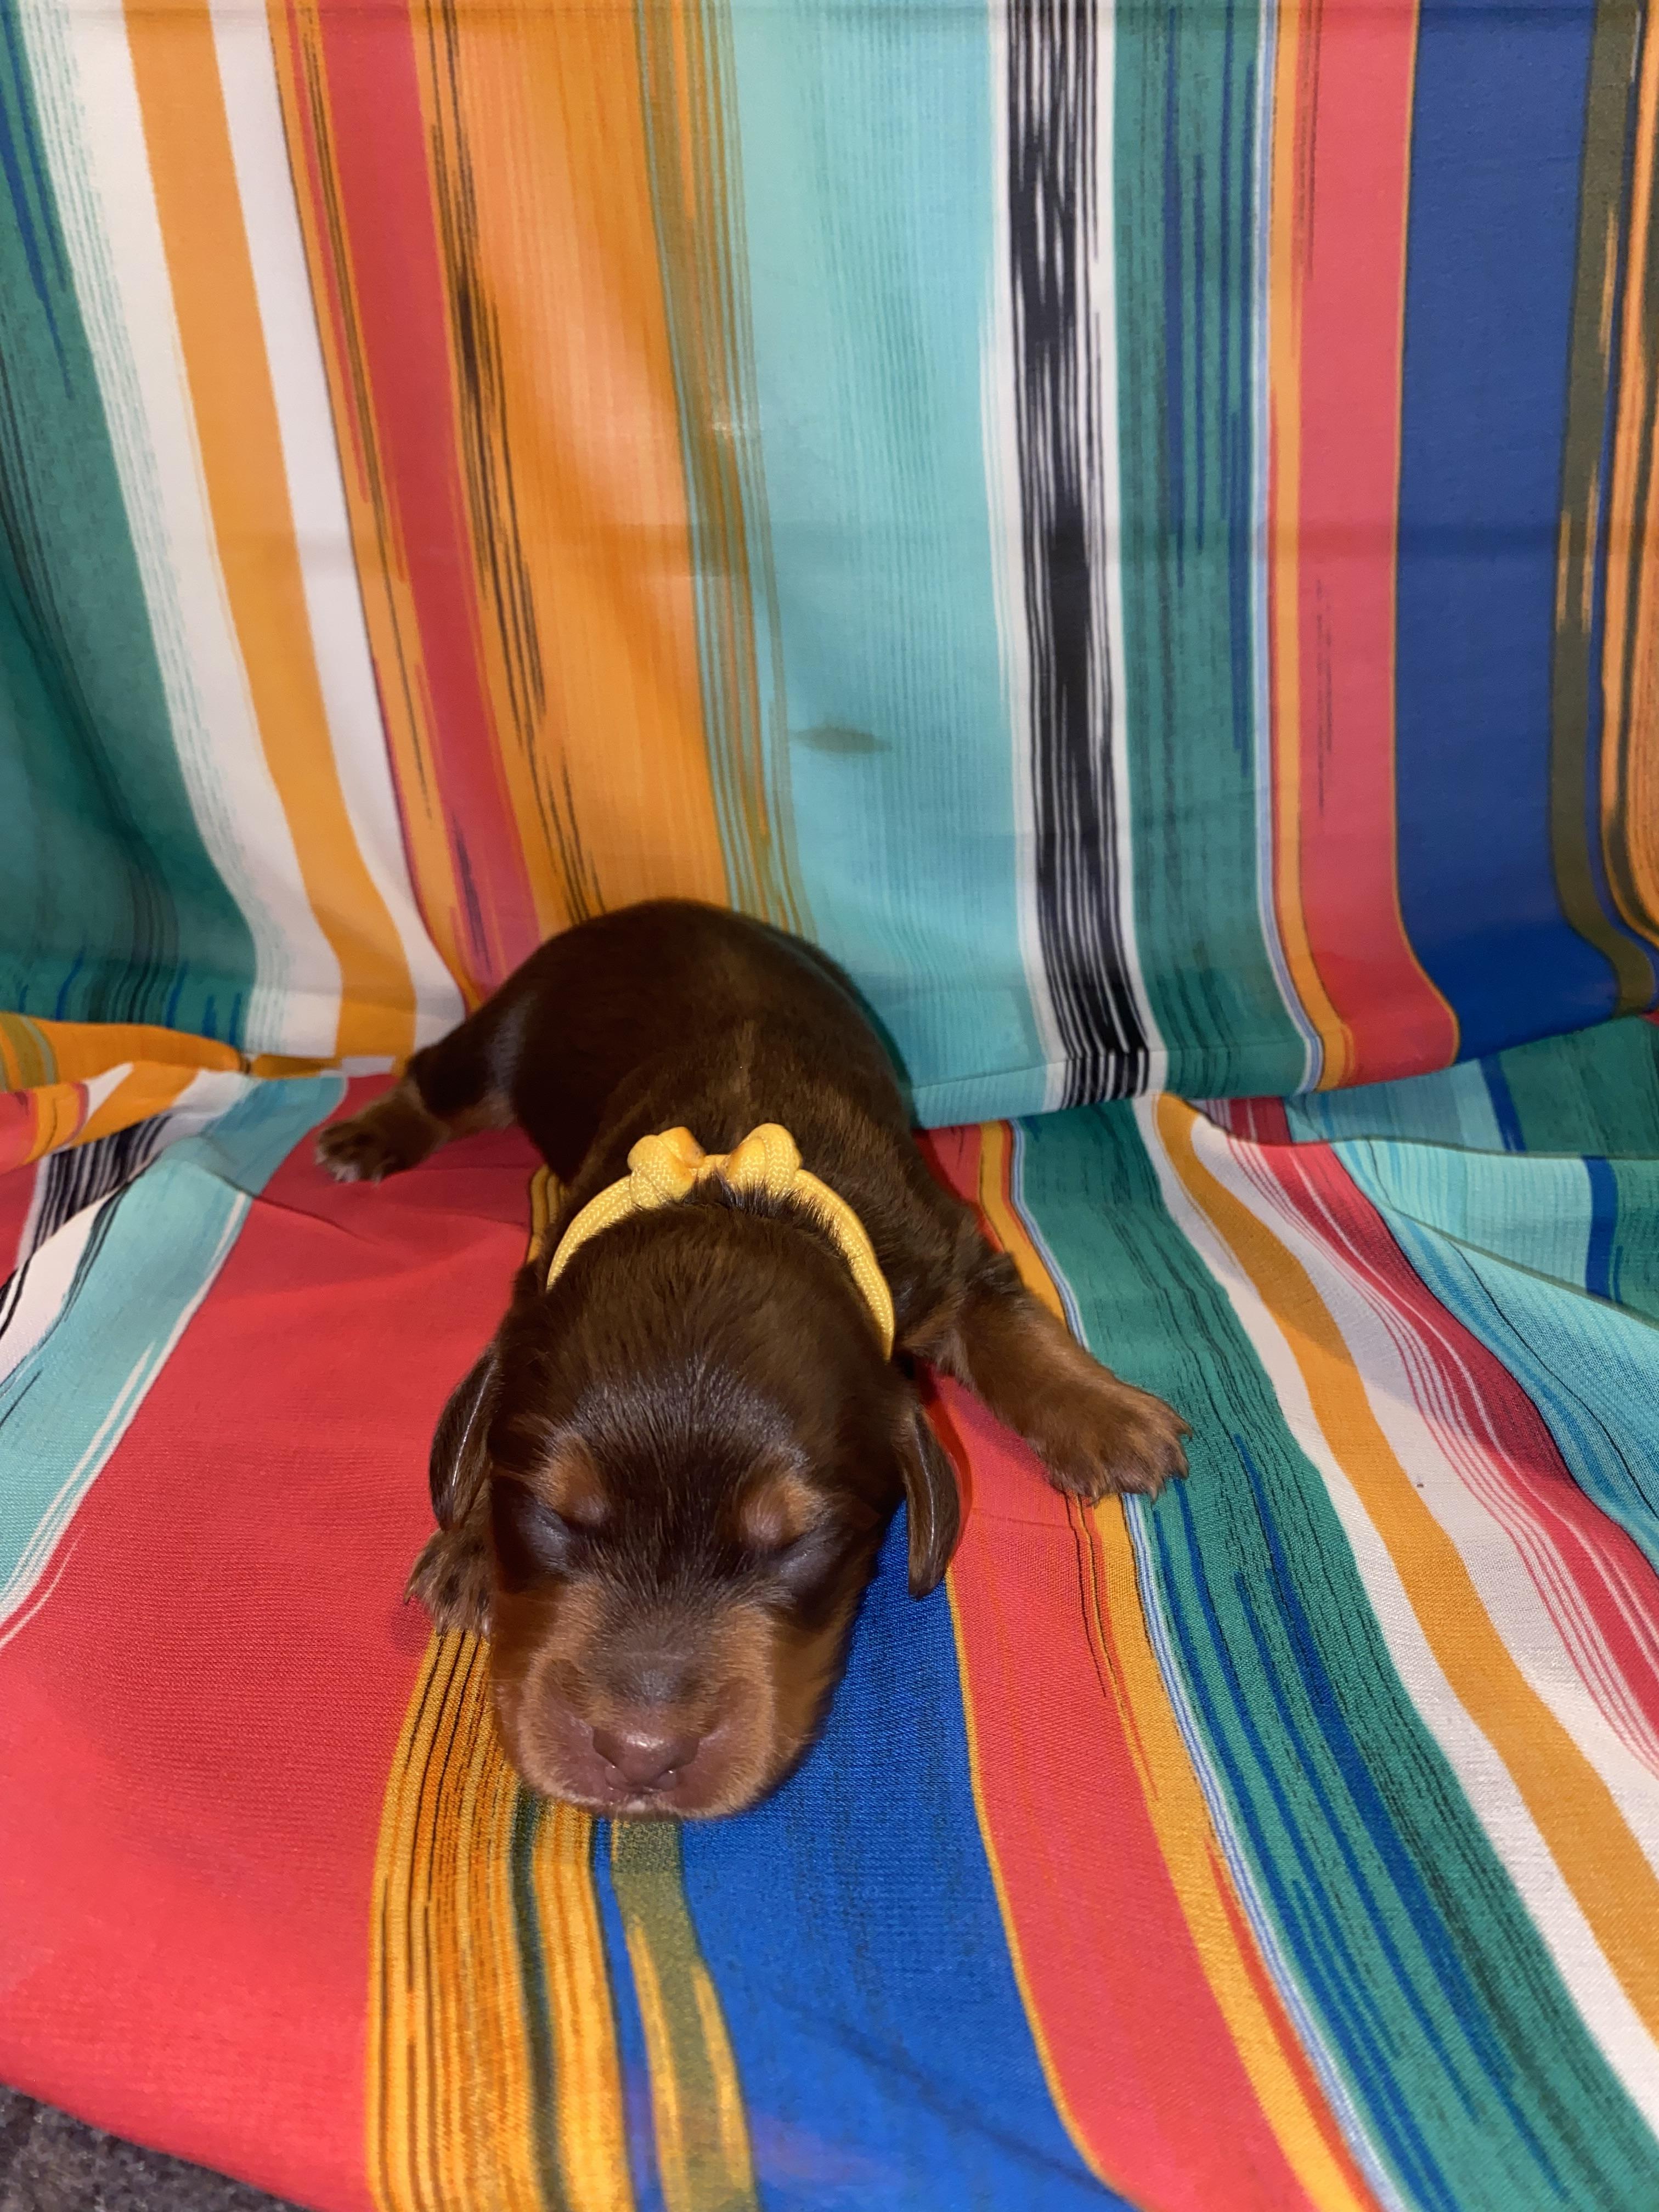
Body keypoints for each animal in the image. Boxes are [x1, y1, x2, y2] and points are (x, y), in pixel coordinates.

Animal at [319, 901, 1188, 1818]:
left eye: (795, 1543)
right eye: (556, 1515)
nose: (640, 1757)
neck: (734, 1193)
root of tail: (661, 909)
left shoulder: (944, 1251)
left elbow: (1014, 1326)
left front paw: (1108, 1416)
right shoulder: (537, 1280)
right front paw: (471, 1548)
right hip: (507, 1029)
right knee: (438, 1077)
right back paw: (371, 1132)